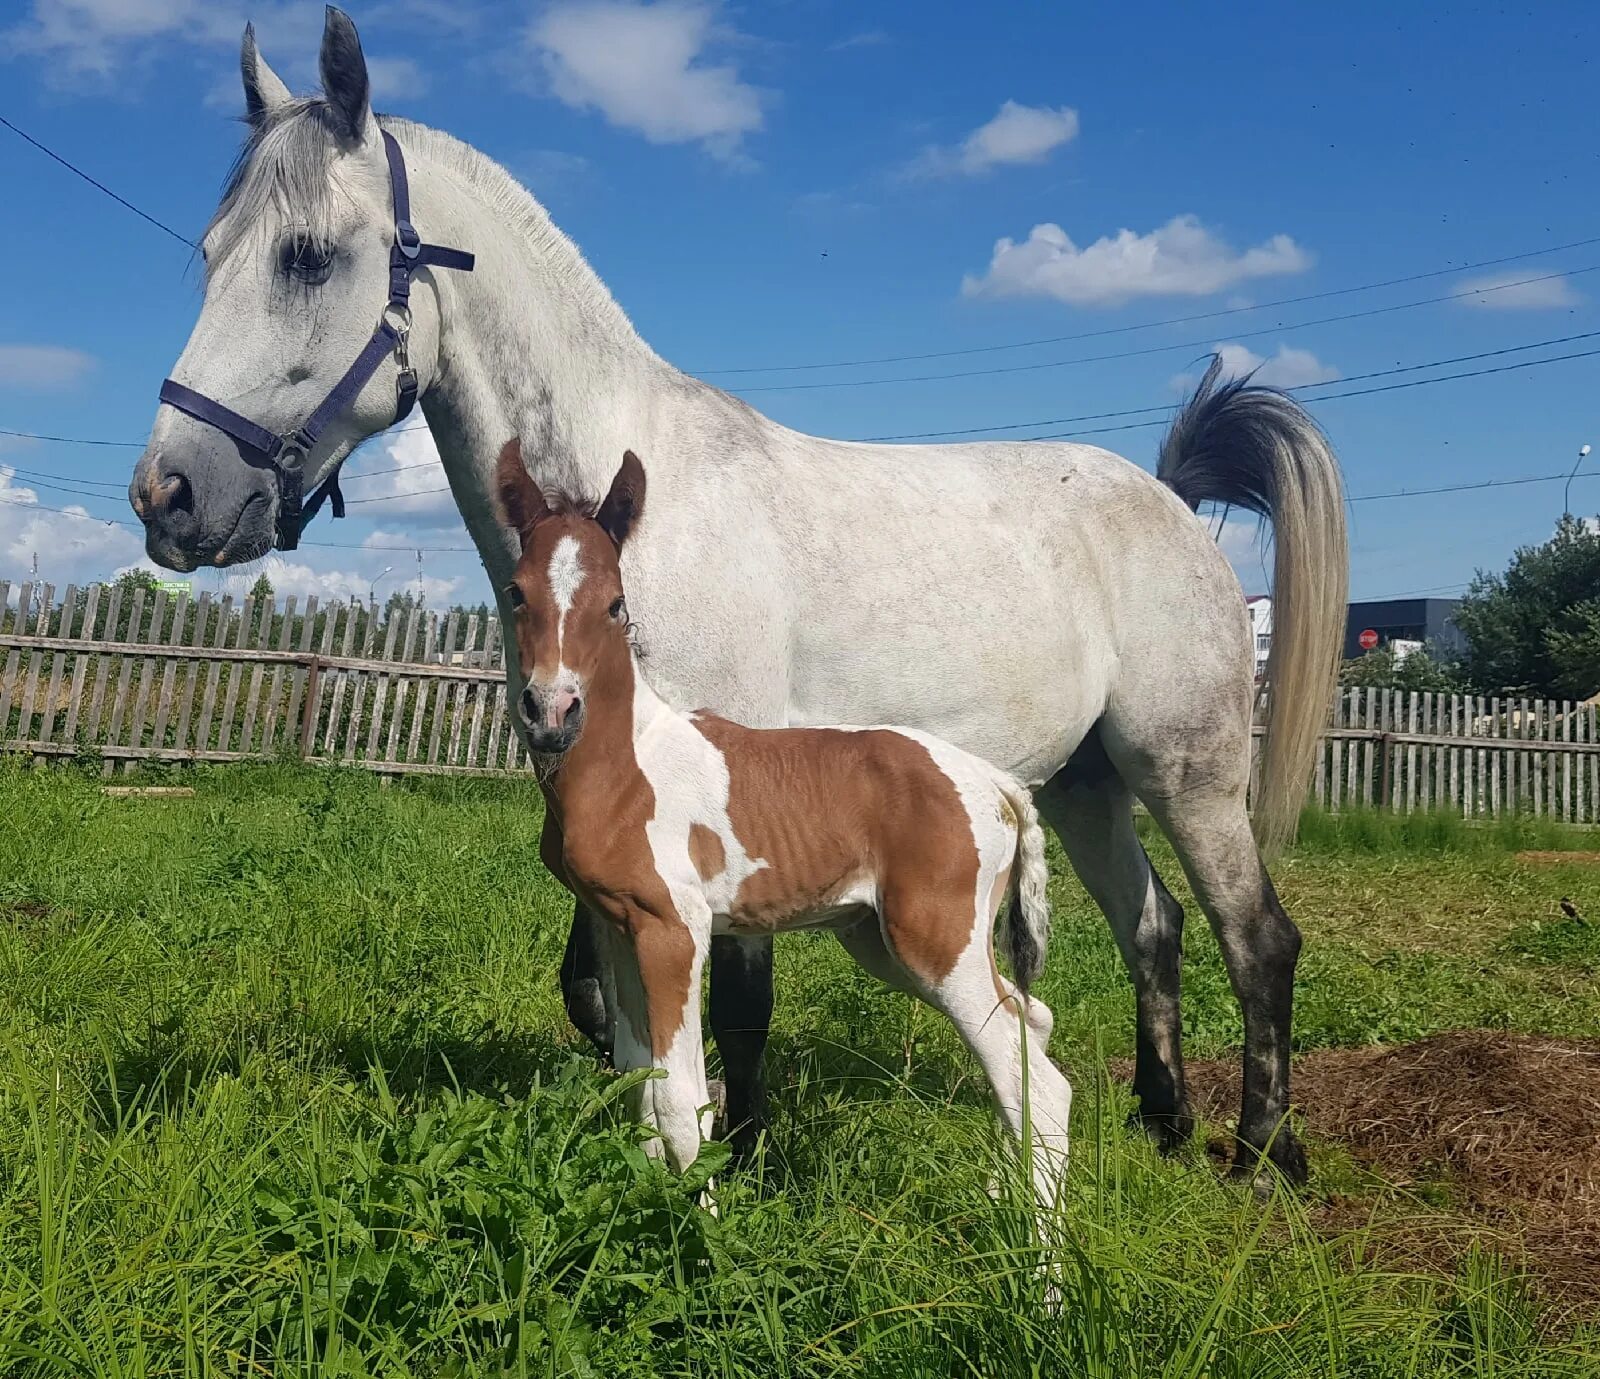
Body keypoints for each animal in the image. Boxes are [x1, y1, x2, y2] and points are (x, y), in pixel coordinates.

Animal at [496, 441, 1075, 1209]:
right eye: (516, 592)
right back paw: (1001, 1194)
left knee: (1031, 1078)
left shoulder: (676, 931)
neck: (629, 763)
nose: (552, 712)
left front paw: (700, 1229)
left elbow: (683, 1102)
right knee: (1030, 1033)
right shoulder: (624, 930)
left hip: (937, 940)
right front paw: (648, 1211)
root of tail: (996, 783)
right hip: (879, 939)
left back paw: (1038, 1243)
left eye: (616, 603)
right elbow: (641, 1087)